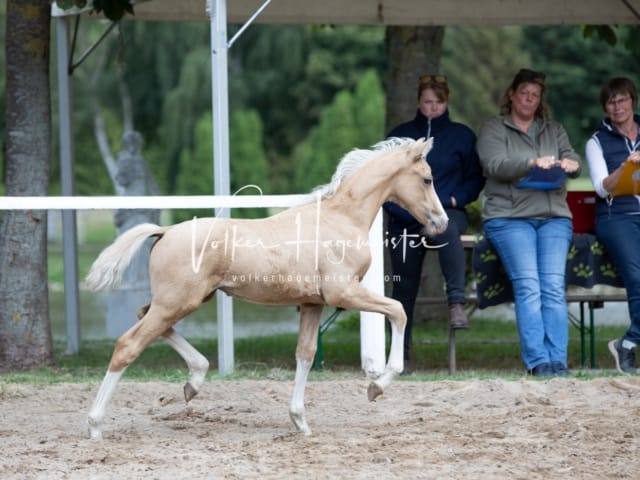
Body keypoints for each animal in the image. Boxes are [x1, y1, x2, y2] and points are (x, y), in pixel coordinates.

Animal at [85, 137, 448, 440]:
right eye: (427, 179)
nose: (441, 222)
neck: (340, 218)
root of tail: (165, 231)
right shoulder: (344, 293)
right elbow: (398, 312)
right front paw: (377, 386)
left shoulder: (314, 304)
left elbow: (305, 354)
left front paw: (299, 420)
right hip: (177, 302)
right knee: (128, 344)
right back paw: (95, 424)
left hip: (181, 301)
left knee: (145, 317)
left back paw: (194, 381)